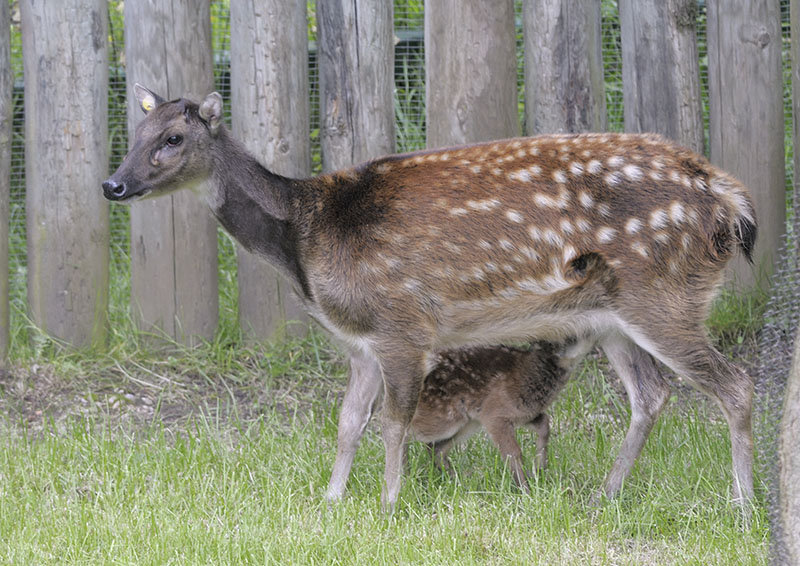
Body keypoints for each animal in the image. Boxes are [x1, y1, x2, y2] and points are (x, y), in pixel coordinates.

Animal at [411, 339, 577, 491]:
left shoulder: (520, 414)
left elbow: (544, 422)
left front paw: (539, 472)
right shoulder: (495, 414)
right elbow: (513, 452)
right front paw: (525, 490)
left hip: (468, 422)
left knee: (435, 447)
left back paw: (459, 481)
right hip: (445, 419)